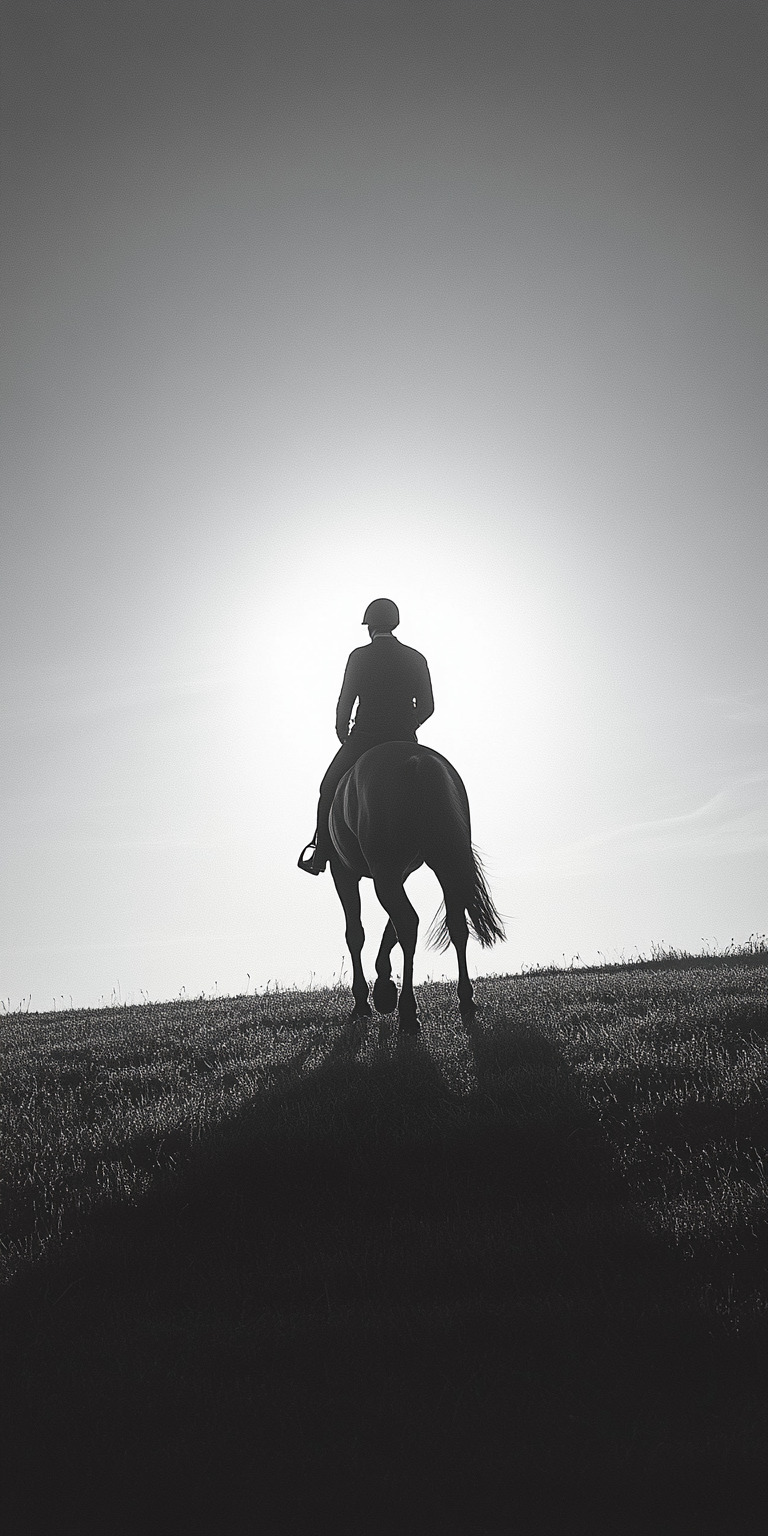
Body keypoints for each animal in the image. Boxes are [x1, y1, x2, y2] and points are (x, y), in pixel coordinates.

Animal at [328, 741, 505, 1032]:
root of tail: (417, 760)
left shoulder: (344, 872)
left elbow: (355, 934)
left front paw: (364, 1002)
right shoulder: (399, 874)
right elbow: (388, 929)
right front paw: (383, 987)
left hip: (384, 871)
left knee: (408, 924)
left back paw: (408, 1012)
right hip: (444, 864)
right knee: (455, 926)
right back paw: (466, 1001)